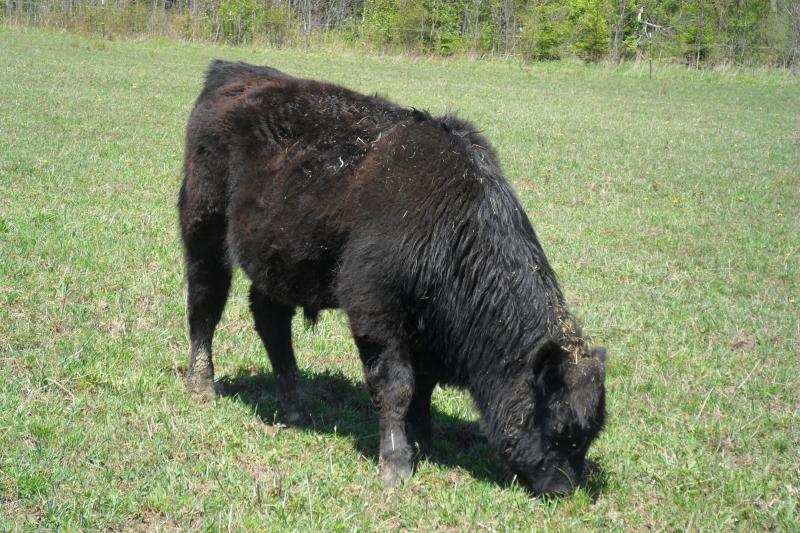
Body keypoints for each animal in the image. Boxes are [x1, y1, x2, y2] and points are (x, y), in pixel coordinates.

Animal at [178, 60, 607, 495]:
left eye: (591, 434)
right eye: (562, 430)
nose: (564, 489)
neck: (452, 217)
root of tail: (232, 71)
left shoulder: (426, 327)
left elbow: (423, 387)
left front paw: (423, 443)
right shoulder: (375, 309)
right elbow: (396, 385)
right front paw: (397, 462)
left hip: (278, 262)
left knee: (270, 321)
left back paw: (295, 408)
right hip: (204, 231)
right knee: (205, 307)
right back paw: (202, 386)